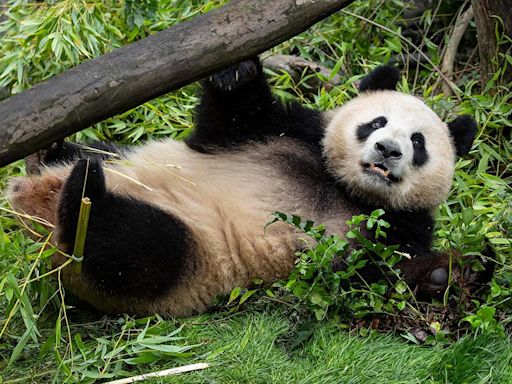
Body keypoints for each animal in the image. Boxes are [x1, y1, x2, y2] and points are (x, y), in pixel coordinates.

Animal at [5, 57, 484, 316]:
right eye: (376, 122)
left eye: (418, 142)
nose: (387, 150)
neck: (346, 188)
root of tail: (34, 210)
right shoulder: (289, 132)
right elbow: (230, 120)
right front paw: (236, 71)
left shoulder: (397, 228)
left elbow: (378, 277)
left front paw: (454, 272)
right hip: (122, 161)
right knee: (97, 159)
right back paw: (51, 155)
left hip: (192, 258)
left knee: (135, 248)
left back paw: (83, 198)